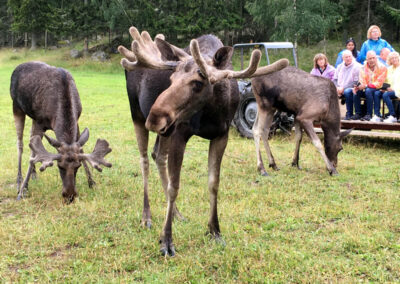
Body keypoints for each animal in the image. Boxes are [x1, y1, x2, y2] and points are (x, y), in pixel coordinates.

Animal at [10, 61, 112, 202]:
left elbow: (81, 150)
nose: (70, 196)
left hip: (31, 116)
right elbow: (32, 153)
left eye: (77, 166)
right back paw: (19, 181)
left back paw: (34, 175)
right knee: (20, 143)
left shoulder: (76, 120)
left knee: (30, 141)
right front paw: (23, 191)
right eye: (60, 166)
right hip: (17, 107)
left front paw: (92, 182)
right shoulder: (39, 122)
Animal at [117, 26, 290, 256]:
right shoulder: (180, 133)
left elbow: (213, 183)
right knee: (144, 160)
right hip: (137, 114)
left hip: (165, 131)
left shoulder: (220, 136)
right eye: (171, 79)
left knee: (158, 155)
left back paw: (176, 213)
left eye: (198, 83)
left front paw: (215, 230)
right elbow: (174, 186)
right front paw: (166, 241)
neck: (212, 112)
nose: (154, 118)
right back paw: (147, 217)